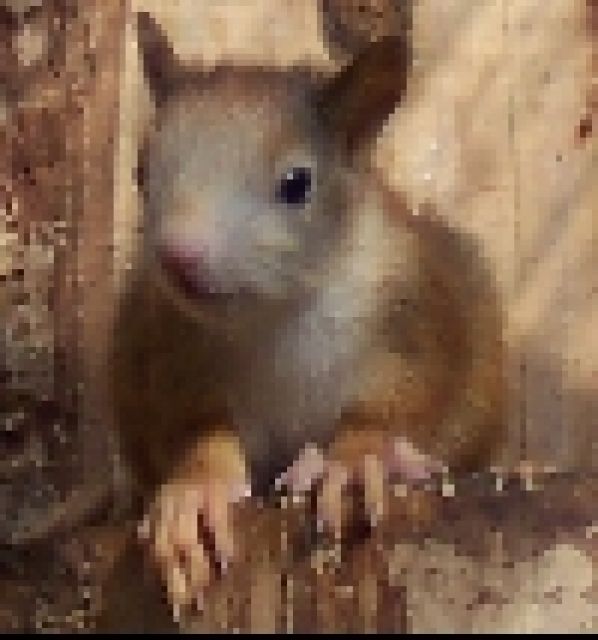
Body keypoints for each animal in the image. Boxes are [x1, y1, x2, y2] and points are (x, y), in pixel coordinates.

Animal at [112, 11, 506, 617]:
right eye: (141, 170)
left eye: (297, 184)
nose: (177, 255)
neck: (272, 315)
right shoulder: (167, 354)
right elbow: (196, 430)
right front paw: (194, 493)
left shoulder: (414, 317)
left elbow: (402, 401)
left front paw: (358, 458)